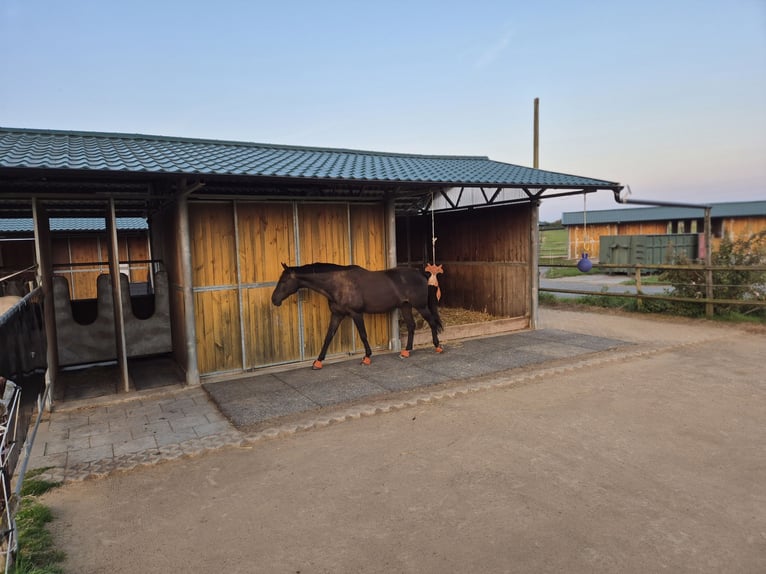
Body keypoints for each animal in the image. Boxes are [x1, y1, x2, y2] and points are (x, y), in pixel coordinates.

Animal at [274, 264, 444, 372]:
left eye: (284, 281)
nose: (274, 300)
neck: (337, 284)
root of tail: (421, 274)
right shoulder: (337, 314)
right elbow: (328, 337)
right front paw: (318, 362)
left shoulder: (356, 313)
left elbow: (363, 335)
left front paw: (366, 357)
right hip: (405, 306)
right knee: (411, 326)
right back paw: (406, 351)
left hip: (421, 306)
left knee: (432, 322)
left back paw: (438, 347)